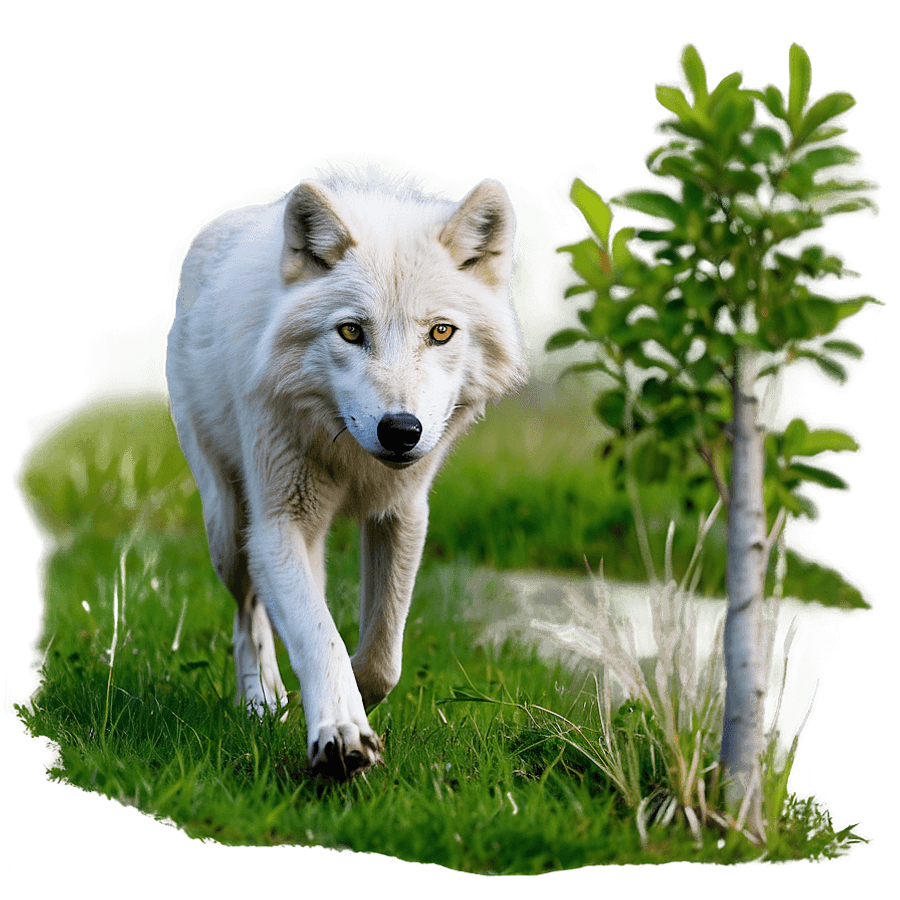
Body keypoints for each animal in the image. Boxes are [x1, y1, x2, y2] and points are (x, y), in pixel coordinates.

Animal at [165, 161, 528, 779]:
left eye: (441, 332)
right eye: (352, 331)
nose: (401, 430)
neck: (355, 462)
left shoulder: (403, 514)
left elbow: (383, 658)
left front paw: (354, 692)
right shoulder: (282, 526)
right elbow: (320, 635)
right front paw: (339, 729)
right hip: (229, 528)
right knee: (246, 613)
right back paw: (262, 698)